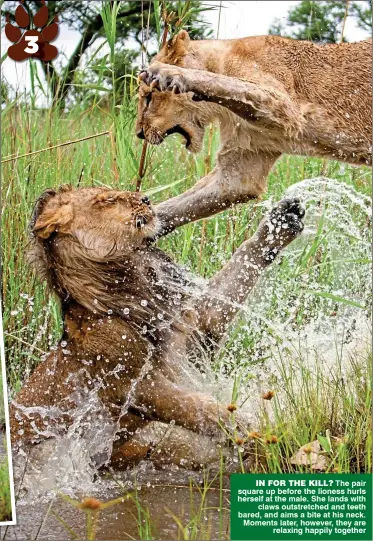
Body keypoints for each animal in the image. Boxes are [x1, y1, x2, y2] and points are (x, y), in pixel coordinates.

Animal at [10, 184, 304, 466]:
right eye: (105, 200)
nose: (147, 199)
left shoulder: (196, 332)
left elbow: (237, 271)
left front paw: (282, 220)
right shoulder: (132, 383)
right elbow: (197, 407)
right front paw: (252, 429)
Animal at [137, 31, 372, 234]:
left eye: (148, 98)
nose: (139, 133)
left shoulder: (284, 105)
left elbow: (226, 82)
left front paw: (165, 73)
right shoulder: (243, 164)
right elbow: (177, 206)